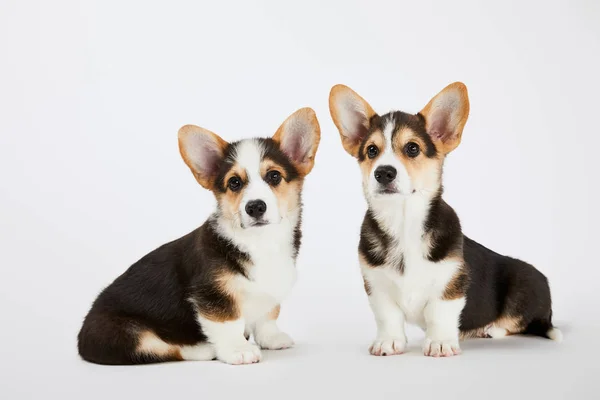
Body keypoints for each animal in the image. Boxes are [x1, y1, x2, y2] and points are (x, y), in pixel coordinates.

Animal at [77, 108, 322, 364]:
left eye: (274, 176)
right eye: (234, 182)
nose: (255, 207)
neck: (261, 241)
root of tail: (81, 339)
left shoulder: (270, 293)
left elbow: (269, 314)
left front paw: (271, 339)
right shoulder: (212, 295)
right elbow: (228, 322)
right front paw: (238, 349)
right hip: (127, 333)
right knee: (165, 349)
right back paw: (206, 349)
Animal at [328, 83, 556, 358]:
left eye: (412, 148)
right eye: (372, 150)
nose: (383, 173)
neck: (403, 222)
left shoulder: (450, 283)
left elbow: (439, 314)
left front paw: (440, 343)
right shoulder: (377, 285)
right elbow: (387, 316)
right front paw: (389, 341)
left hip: (523, 284)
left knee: (517, 323)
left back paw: (490, 328)